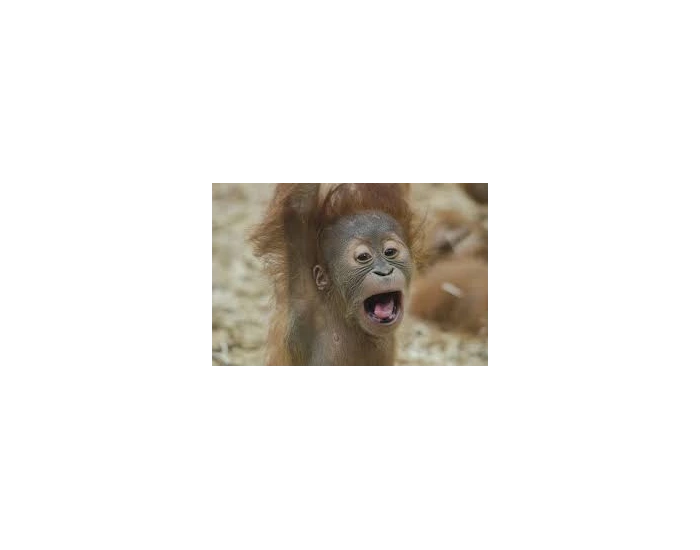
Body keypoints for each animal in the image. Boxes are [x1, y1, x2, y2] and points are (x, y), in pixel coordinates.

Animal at [249, 177, 423, 367]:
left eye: (390, 252)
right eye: (363, 257)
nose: (384, 271)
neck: (343, 312)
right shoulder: (304, 289)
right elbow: (298, 204)